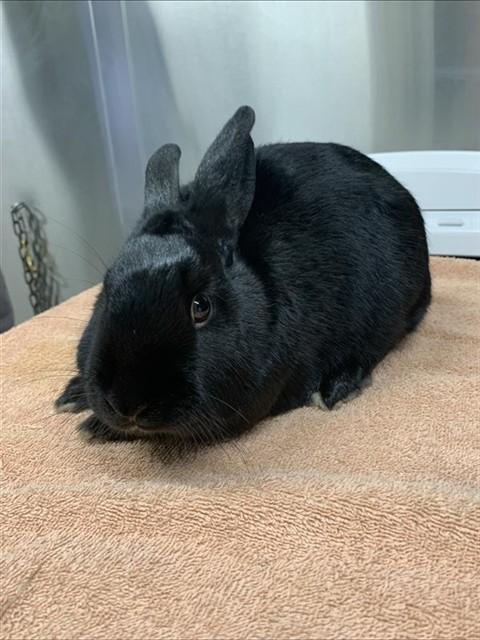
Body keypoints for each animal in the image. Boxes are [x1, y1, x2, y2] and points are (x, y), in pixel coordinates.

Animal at [56, 105, 431, 444]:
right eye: (105, 292)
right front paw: (74, 397)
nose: (128, 405)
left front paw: (94, 427)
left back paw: (335, 387)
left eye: (201, 307)